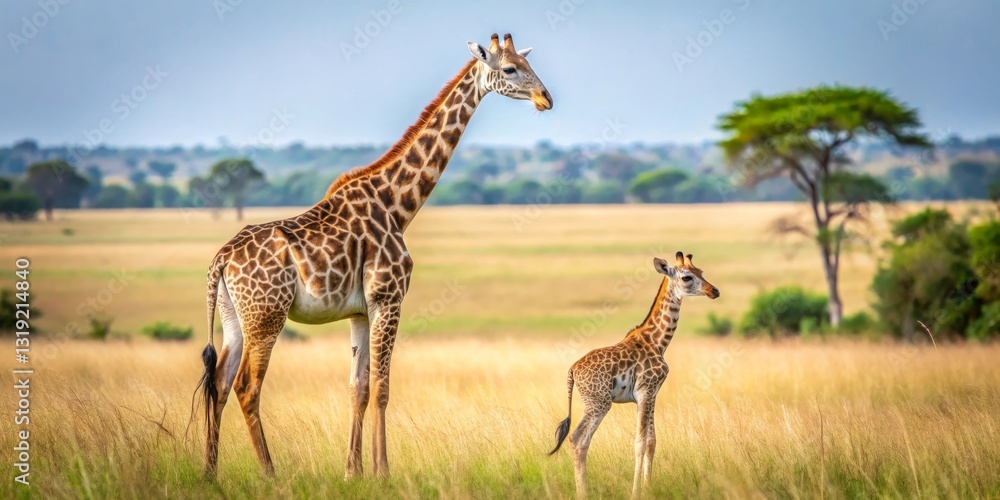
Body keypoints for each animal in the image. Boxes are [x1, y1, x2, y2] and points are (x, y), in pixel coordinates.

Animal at [194, 33, 552, 479]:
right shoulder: (388, 298)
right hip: (266, 316)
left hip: (234, 318)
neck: (397, 205)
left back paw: (209, 473)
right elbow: (382, 387)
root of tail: (221, 260)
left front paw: (354, 471)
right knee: (247, 386)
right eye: (510, 69)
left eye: (529, 63)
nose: (545, 98)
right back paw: (270, 473)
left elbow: (358, 388)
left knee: (220, 383)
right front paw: (383, 472)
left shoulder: (360, 311)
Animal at [548, 252, 720, 498]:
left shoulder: (651, 394)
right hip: (599, 402)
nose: (714, 291)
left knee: (581, 440)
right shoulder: (645, 391)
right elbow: (639, 443)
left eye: (701, 272)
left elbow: (651, 442)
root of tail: (572, 371)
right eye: (687, 277)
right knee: (577, 438)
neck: (657, 342)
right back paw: (583, 493)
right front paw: (636, 492)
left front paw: (648, 489)